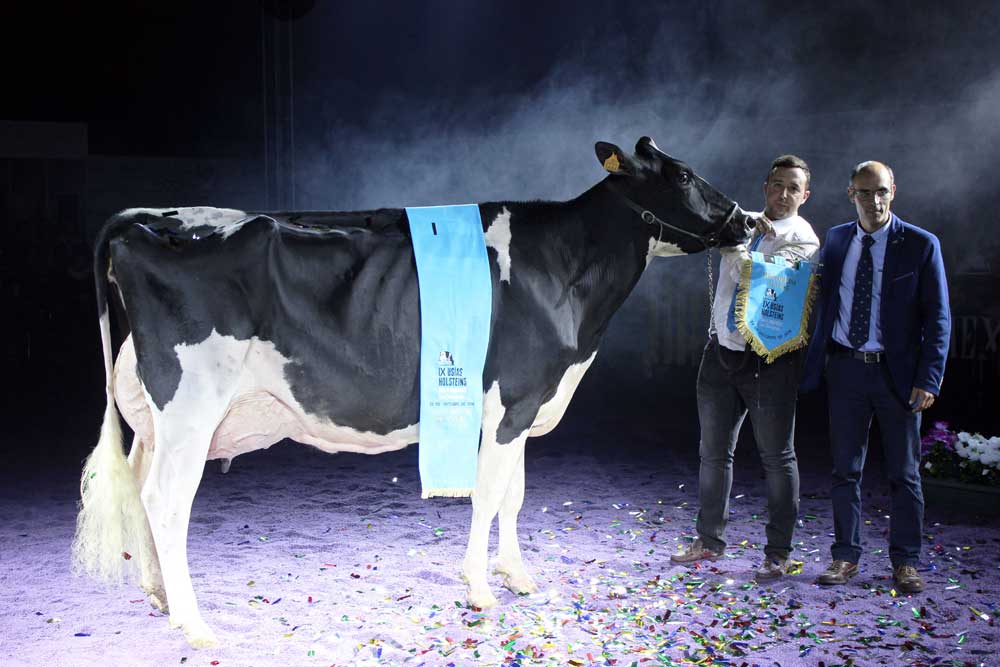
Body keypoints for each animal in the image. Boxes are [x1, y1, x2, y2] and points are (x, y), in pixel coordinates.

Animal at [72, 137, 753, 647]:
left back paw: (158, 594)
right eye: (683, 174)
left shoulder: (524, 404)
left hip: (155, 413)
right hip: (191, 407)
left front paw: (517, 574)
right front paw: (479, 587)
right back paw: (193, 622)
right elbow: (487, 497)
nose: (747, 220)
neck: (562, 270)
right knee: (165, 501)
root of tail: (151, 218)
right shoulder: (511, 401)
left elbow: (514, 497)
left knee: (139, 481)